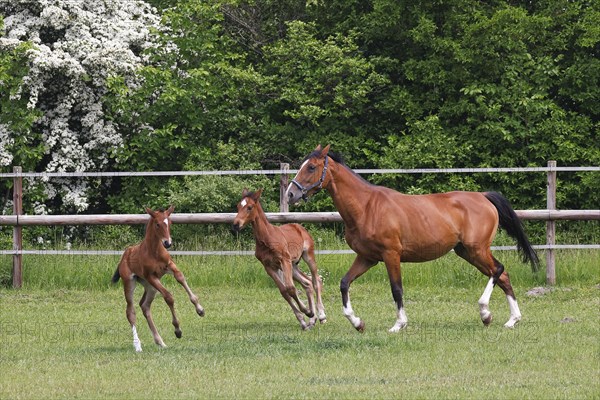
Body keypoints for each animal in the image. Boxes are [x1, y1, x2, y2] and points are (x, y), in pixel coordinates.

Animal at [111, 205, 205, 352]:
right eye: (157, 224)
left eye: (170, 222)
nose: (167, 243)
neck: (154, 251)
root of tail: (125, 254)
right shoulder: (151, 276)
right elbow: (169, 297)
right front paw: (177, 330)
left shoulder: (169, 266)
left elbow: (180, 277)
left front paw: (200, 309)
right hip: (131, 282)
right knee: (130, 311)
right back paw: (137, 345)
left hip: (149, 287)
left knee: (144, 305)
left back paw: (160, 341)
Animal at [232, 189, 326, 330]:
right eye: (238, 206)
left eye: (249, 207)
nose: (236, 224)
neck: (266, 239)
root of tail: (299, 227)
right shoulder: (269, 267)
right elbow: (284, 291)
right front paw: (303, 320)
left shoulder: (284, 260)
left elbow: (290, 288)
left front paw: (307, 312)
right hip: (293, 266)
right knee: (307, 283)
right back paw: (312, 320)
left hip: (307, 256)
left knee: (316, 281)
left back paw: (321, 316)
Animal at [286, 145, 540, 332]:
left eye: (311, 167)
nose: (291, 194)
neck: (366, 207)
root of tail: (484, 197)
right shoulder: (367, 258)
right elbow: (344, 283)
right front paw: (358, 323)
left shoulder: (391, 255)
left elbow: (396, 289)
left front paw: (399, 324)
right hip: (467, 252)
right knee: (502, 275)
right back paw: (511, 320)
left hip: (477, 249)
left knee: (498, 270)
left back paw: (485, 313)